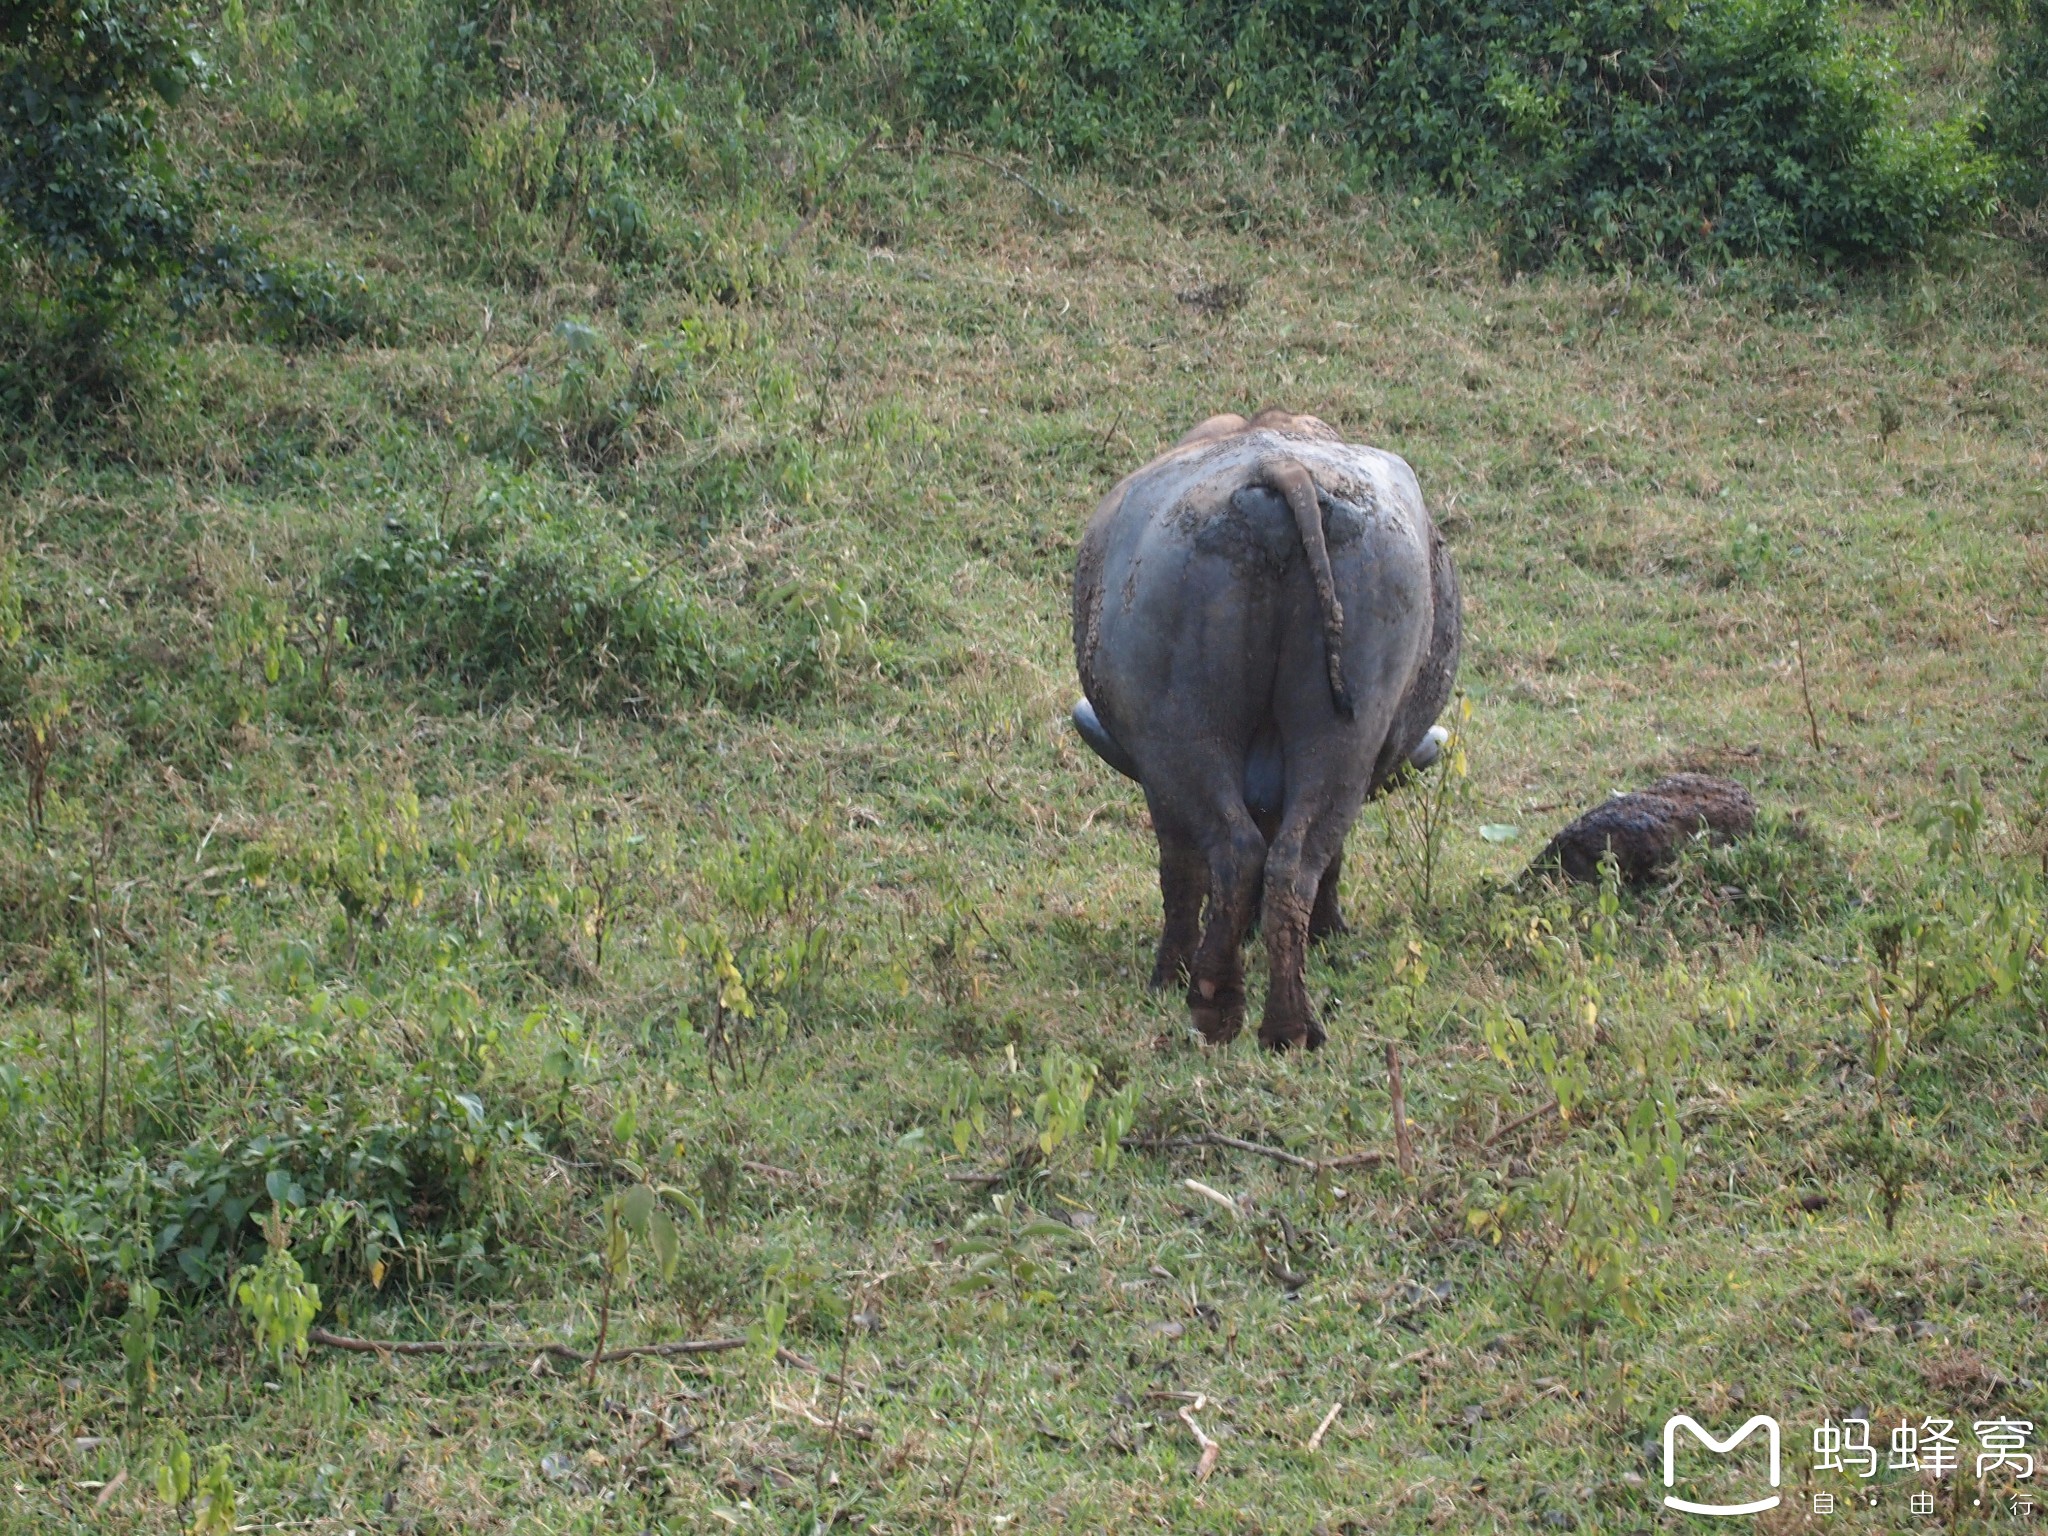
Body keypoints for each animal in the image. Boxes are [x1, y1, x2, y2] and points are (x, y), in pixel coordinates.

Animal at [1073, 409, 1458, 1056]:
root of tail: (1282, 468)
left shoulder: (1158, 782)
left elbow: (1181, 875)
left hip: (1185, 738)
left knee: (1234, 854)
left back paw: (1210, 999)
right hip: (1343, 736)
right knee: (1293, 864)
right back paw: (1289, 1026)